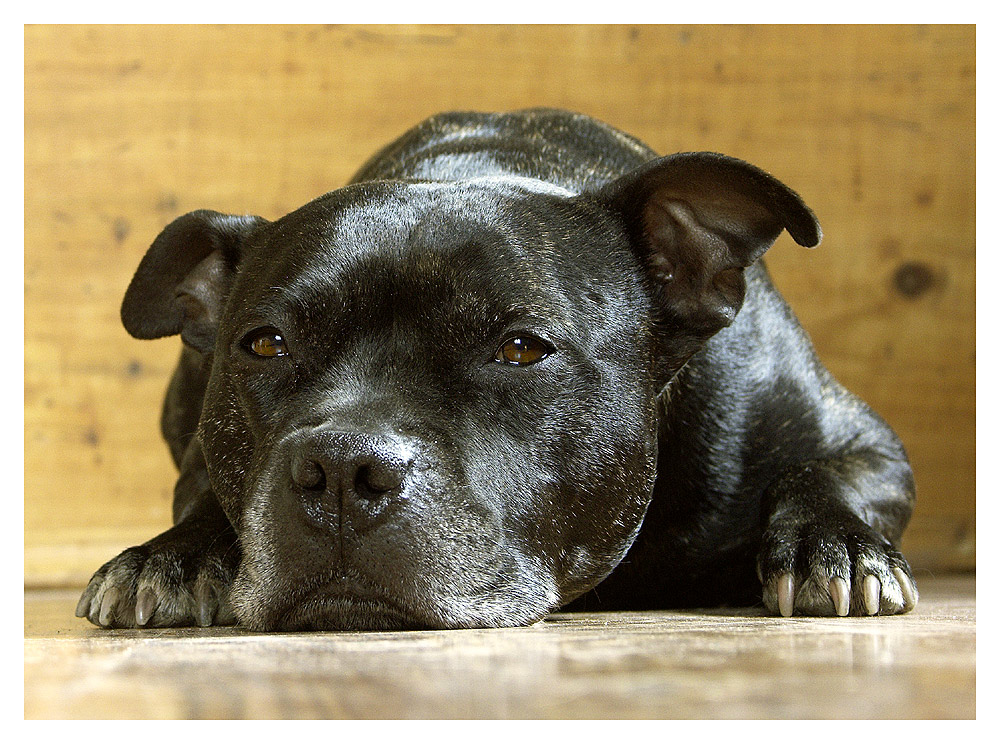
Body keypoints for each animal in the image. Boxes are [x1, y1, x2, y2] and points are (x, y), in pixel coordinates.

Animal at [76, 107, 920, 628]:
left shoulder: (867, 446)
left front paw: (834, 547)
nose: (339, 466)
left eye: (521, 348)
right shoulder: (202, 457)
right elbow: (211, 499)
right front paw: (172, 559)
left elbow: (820, 474)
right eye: (263, 345)